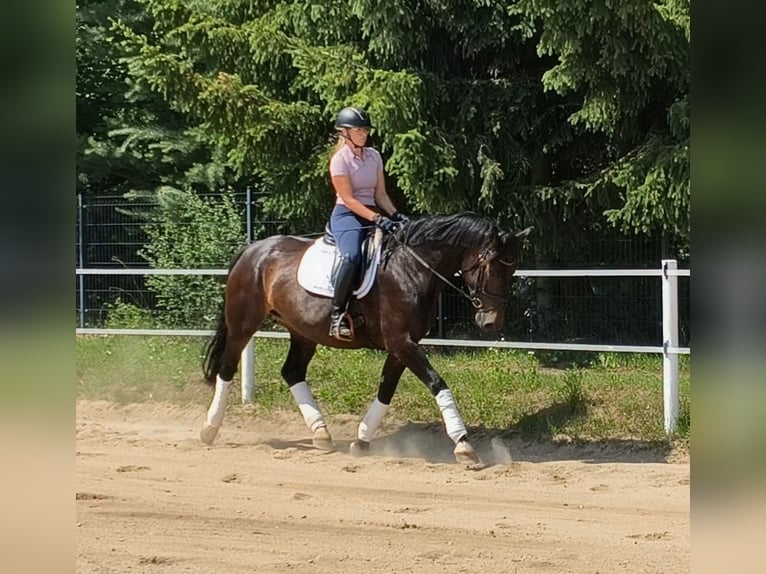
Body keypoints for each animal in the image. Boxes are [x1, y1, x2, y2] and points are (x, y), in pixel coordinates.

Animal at [200, 212, 532, 463]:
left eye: (513, 269)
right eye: (491, 269)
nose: (491, 322)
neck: (411, 267)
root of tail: (253, 249)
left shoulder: (402, 346)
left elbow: (386, 390)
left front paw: (361, 441)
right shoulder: (401, 342)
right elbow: (437, 383)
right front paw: (463, 444)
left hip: (303, 331)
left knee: (292, 371)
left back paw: (321, 433)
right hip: (243, 324)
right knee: (227, 368)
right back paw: (209, 429)